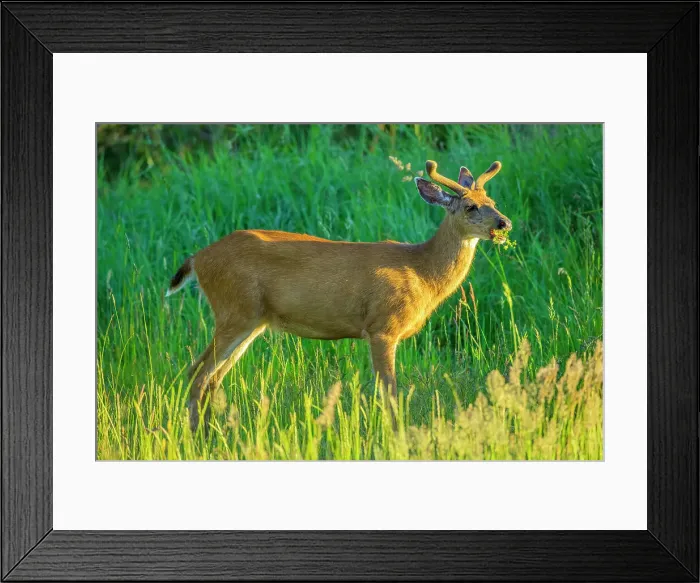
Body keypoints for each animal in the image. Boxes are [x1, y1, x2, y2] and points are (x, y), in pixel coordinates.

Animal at [166, 160, 512, 430]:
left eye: (492, 200)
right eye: (470, 206)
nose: (504, 222)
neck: (422, 271)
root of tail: (198, 259)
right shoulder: (382, 326)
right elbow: (390, 392)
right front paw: (397, 437)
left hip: (252, 322)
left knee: (212, 378)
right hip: (234, 311)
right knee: (197, 373)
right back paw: (198, 438)